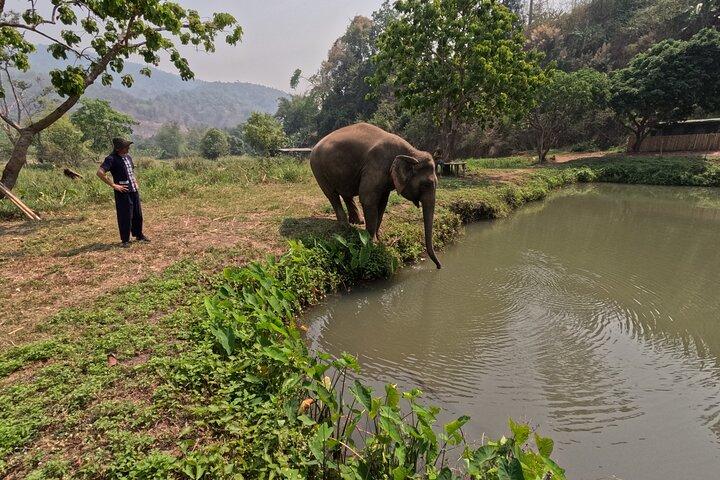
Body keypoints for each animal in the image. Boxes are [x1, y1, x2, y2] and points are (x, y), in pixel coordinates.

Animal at [310, 122, 442, 269]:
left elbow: (382, 203)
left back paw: (358, 222)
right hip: (318, 169)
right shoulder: (376, 166)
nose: (438, 266)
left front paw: (378, 239)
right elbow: (368, 199)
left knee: (345, 192)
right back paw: (345, 226)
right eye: (425, 185)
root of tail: (315, 145)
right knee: (332, 195)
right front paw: (371, 243)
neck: (412, 152)